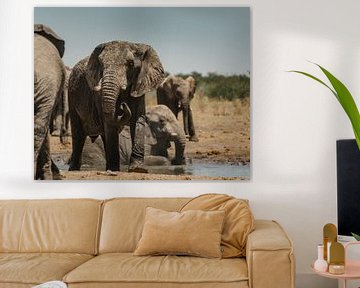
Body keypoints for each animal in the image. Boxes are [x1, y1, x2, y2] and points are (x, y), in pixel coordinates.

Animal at [68, 40, 165, 171]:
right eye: (101, 64)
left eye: (130, 64)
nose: (123, 105)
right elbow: (109, 123)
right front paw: (115, 170)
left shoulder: (139, 85)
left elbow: (137, 119)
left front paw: (137, 169)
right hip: (71, 95)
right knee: (78, 134)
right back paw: (75, 169)